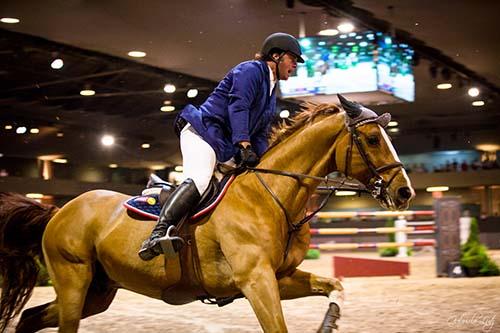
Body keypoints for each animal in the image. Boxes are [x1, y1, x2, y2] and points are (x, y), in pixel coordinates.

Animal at [0, 97, 414, 330]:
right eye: (373, 139)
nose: (404, 192)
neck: (273, 196)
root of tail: (58, 209)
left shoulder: (279, 277)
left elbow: (334, 286)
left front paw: (330, 322)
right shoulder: (256, 281)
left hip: (97, 292)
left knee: (30, 320)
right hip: (74, 281)